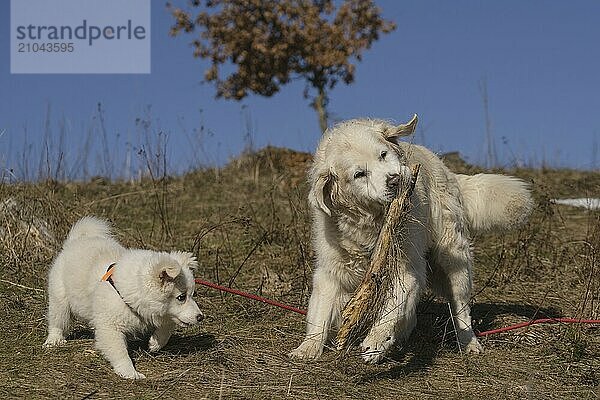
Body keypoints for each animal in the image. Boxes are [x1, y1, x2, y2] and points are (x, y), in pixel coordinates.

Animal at [44, 217, 204, 380]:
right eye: (181, 297)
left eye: (192, 295)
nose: (200, 317)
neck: (128, 294)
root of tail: (75, 241)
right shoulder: (110, 327)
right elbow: (120, 352)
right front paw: (130, 372)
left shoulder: (162, 314)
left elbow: (167, 328)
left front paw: (155, 343)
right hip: (60, 299)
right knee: (57, 321)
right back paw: (54, 340)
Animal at [290, 115, 536, 362]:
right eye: (359, 174)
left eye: (383, 155)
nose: (395, 180)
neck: (373, 222)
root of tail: (447, 171)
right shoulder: (331, 270)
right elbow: (320, 313)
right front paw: (307, 347)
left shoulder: (407, 268)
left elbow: (391, 310)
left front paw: (374, 342)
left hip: (453, 258)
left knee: (461, 308)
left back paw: (469, 342)